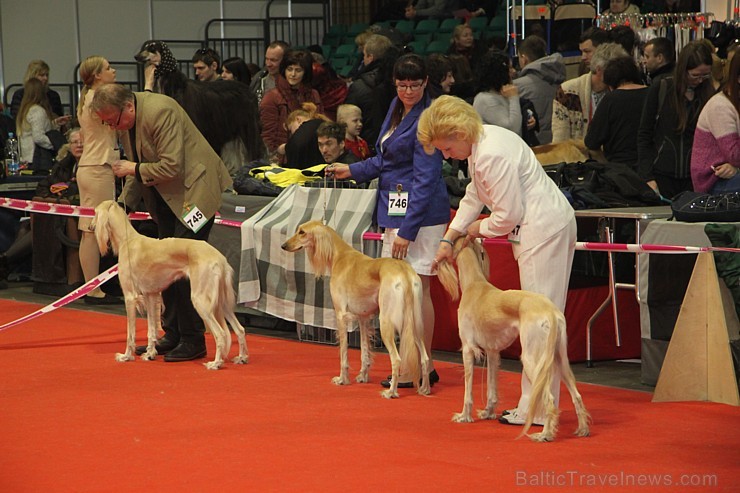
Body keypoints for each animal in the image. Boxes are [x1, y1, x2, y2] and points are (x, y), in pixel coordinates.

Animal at [91, 200, 249, 368]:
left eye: (95, 213)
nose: (90, 227)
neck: (128, 240)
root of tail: (220, 258)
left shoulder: (130, 297)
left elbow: (130, 333)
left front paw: (126, 356)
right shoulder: (150, 295)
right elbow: (151, 330)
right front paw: (150, 353)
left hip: (200, 300)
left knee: (220, 334)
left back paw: (216, 363)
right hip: (223, 302)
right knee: (240, 329)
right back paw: (242, 357)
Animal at [282, 221, 430, 398]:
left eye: (302, 232)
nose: (284, 246)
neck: (339, 255)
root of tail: (404, 271)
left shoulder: (341, 316)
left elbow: (343, 354)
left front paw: (342, 379)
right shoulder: (363, 318)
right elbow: (364, 352)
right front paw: (363, 377)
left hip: (387, 322)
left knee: (397, 359)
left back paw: (391, 392)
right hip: (415, 323)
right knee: (425, 358)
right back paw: (425, 389)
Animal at [440, 236, 588, 440]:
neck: (474, 284)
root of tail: (550, 311)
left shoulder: (468, 349)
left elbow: (467, 392)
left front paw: (464, 416)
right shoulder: (492, 352)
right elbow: (491, 389)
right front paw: (488, 412)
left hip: (532, 360)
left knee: (549, 399)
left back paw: (545, 434)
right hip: (560, 358)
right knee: (577, 395)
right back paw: (583, 429)